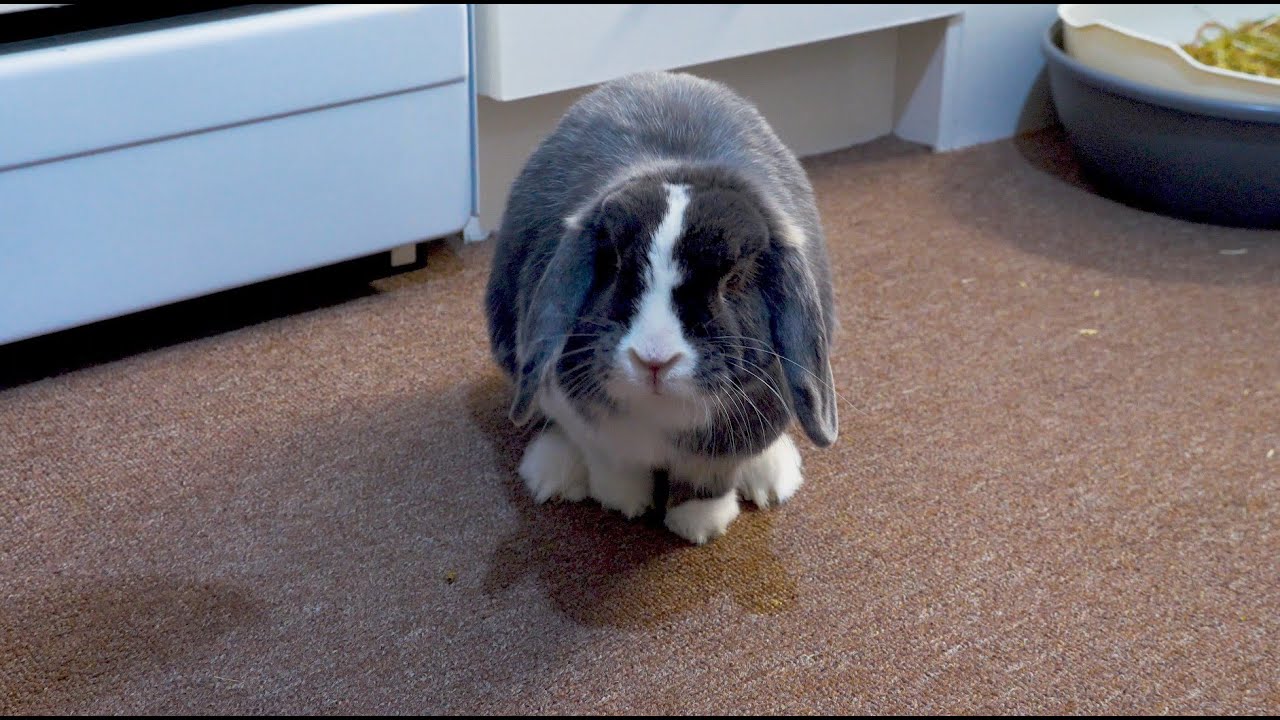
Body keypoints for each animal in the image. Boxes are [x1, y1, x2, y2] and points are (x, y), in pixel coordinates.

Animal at [484, 71, 838, 545]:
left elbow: (708, 481)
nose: (654, 359)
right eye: (615, 264)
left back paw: (772, 477)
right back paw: (552, 475)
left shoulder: (722, 452)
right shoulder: (592, 426)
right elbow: (611, 462)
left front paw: (699, 526)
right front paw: (624, 502)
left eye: (734, 280)